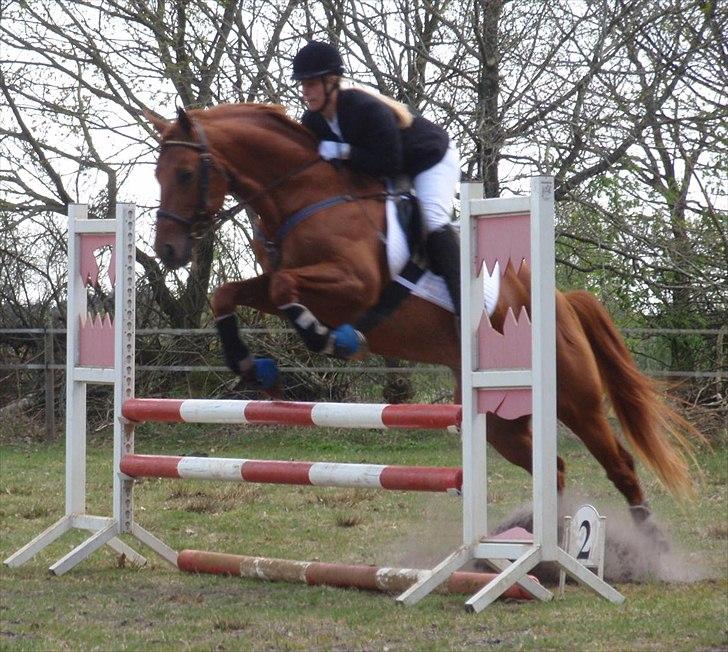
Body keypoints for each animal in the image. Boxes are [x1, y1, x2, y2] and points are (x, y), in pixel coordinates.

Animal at [149, 104, 700, 536]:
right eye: (157, 175)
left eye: (184, 174)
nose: (168, 251)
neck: (304, 193)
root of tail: (561, 299)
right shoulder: (280, 282)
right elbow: (229, 292)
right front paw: (252, 367)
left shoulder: (354, 286)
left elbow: (290, 291)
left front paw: (332, 340)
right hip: (499, 419)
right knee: (556, 470)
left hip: (574, 400)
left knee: (620, 464)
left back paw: (649, 545)